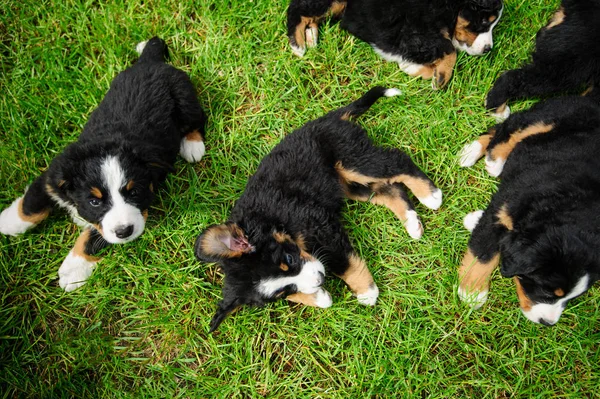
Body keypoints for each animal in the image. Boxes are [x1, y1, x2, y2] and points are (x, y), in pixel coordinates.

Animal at [0, 37, 206, 292]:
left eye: (134, 192)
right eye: (94, 201)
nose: (125, 232)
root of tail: (150, 62)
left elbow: (93, 238)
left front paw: (73, 269)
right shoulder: (54, 175)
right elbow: (32, 204)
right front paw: (10, 222)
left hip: (185, 98)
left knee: (197, 119)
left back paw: (192, 146)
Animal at [195, 88, 442, 334]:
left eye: (288, 258)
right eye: (283, 291)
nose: (321, 279)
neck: (270, 220)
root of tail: (328, 118)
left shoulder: (318, 224)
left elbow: (342, 261)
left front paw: (366, 291)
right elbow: (310, 297)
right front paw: (320, 296)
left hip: (352, 161)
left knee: (397, 161)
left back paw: (431, 196)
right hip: (349, 185)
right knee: (390, 189)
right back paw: (412, 223)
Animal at [288, 0, 504, 89]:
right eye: (484, 21)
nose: (488, 49)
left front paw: (411, 68)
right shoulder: (413, 32)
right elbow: (449, 50)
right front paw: (440, 79)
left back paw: (311, 36)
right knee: (297, 9)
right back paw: (298, 45)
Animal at [458, 96, 596, 324]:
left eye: (572, 298)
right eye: (548, 291)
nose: (547, 323)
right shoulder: (501, 209)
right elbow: (482, 254)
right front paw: (472, 293)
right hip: (547, 118)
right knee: (509, 127)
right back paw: (484, 156)